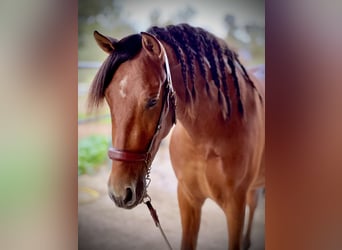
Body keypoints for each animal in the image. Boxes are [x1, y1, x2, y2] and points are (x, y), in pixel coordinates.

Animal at [88, 23, 264, 250]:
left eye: (153, 101)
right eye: (109, 98)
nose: (119, 193)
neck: (208, 139)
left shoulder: (235, 207)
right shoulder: (187, 198)